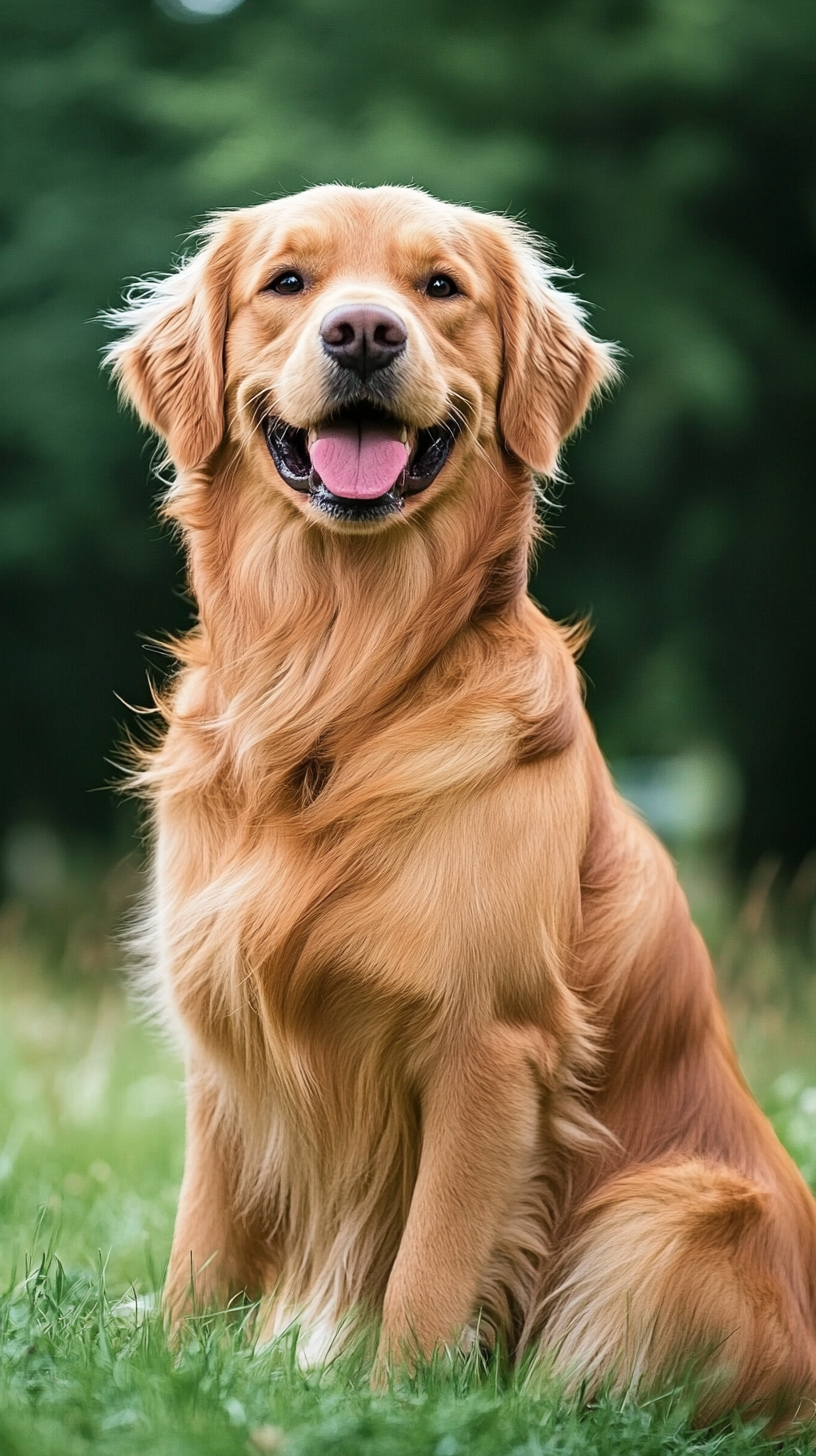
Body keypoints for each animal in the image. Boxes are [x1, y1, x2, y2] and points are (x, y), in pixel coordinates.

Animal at [104, 184, 816, 1421]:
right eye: (288, 282)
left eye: (441, 287)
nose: (363, 333)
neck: (337, 682)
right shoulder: (221, 1025)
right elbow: (205, 1238)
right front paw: (178, 1370)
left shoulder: (488, 1046)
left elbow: (431, 1269)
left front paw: (395, 1405)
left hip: (666, 1212)